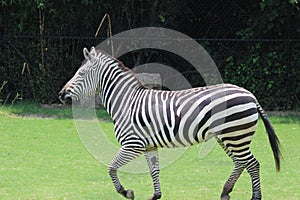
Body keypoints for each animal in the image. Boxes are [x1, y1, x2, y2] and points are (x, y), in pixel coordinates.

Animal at [58, 47, 282, 200]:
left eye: (80, 74)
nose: (61, 95)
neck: (127, 102)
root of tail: (250, 94)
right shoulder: (148, 146)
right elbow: (154, 170)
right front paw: (156, 195)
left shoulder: (132, 144)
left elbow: (111, 167)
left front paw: (126, 192)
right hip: (228, 137)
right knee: (240, 163)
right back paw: (225, 192)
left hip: (235, 135)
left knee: (252, 163)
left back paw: (255, 197)